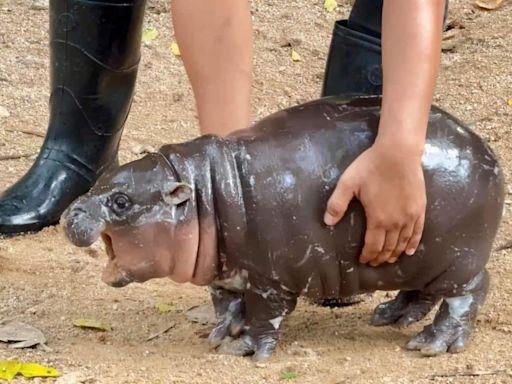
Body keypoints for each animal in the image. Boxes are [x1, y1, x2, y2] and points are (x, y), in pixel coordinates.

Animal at [63, 95, 504, 360]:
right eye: (101, 179)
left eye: (121, 202)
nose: (70, 213)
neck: (204, 194)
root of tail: (487, 150)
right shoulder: (227, 273)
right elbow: (226, 303)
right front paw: (222, 334)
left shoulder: (270, 279)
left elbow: (264, 315)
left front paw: (244, 350)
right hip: (417, 256)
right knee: (422, 291)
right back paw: (390, 316)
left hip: (458, 259)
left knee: (469, 292)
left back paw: (431, 344)